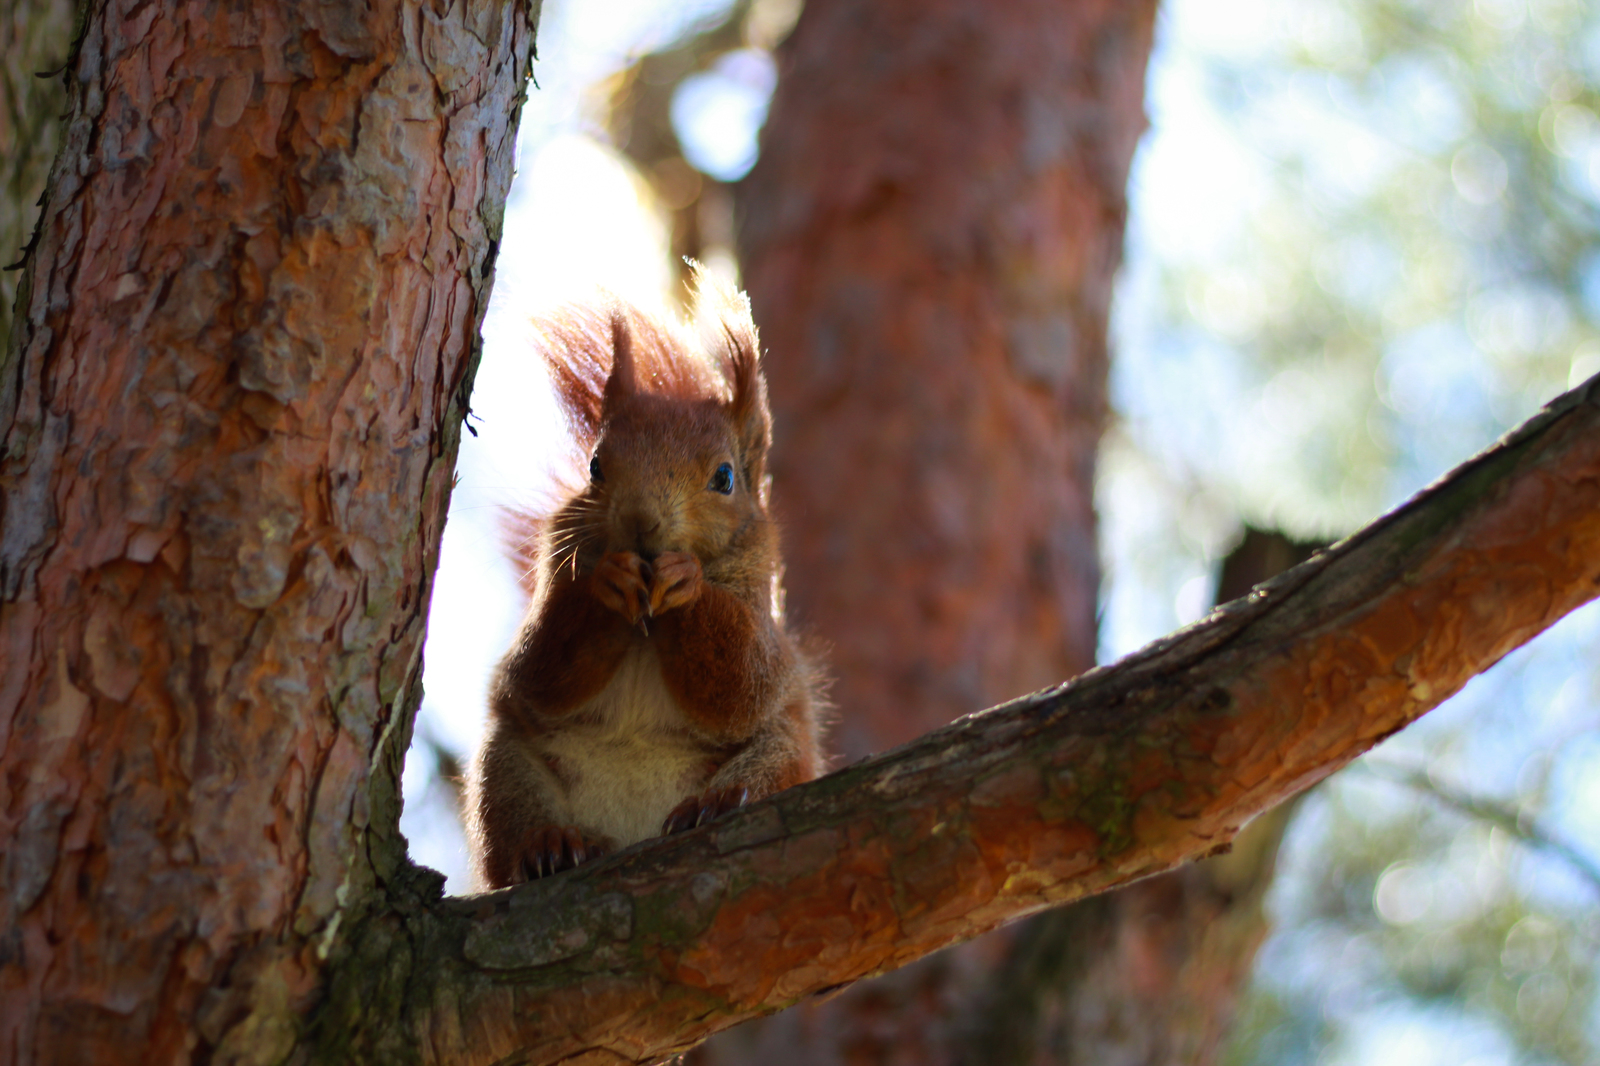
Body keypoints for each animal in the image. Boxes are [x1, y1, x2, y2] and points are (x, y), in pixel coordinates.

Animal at [467, 278, 825, 883]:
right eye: (594, 466)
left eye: (725, 477)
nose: (640, 521)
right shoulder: (554, 569)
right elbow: (541, 665)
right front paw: (605, 584)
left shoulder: (762, 615)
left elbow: (743, 682)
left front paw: (688, 585)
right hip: (506, 768)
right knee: (514, 826)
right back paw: (550, 842)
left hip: (784, 750)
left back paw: (717, 803)